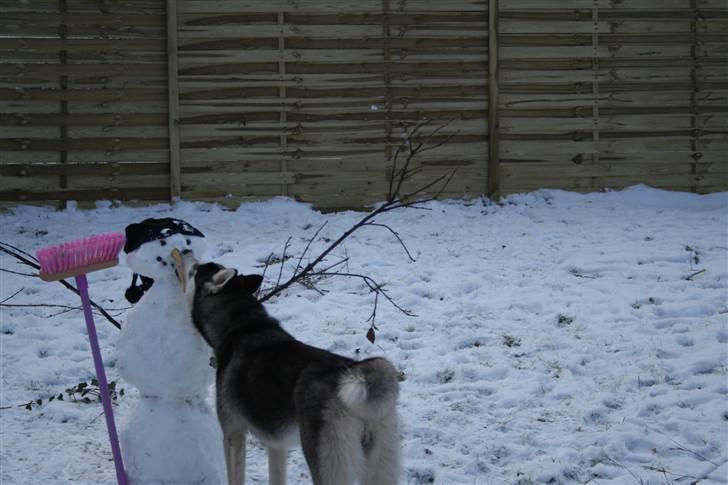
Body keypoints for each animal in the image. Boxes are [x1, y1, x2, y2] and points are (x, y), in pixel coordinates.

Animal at [173, 250, 400, 484]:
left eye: (195, 268)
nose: (185, 251)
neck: (241, 324)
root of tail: (357, 372)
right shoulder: (276, 444)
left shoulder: (232, 434)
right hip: (379, 461)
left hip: (326, 461)